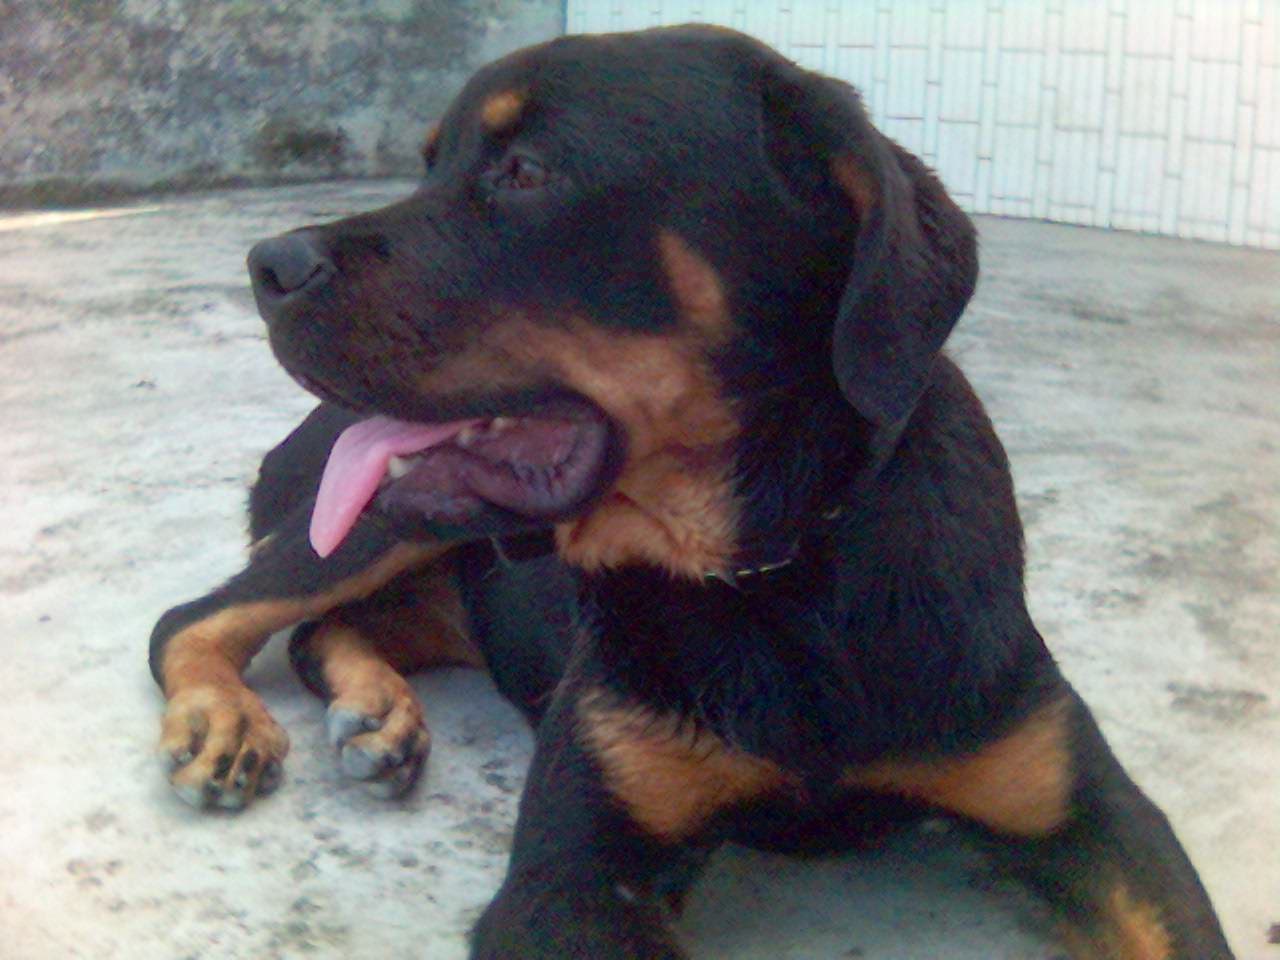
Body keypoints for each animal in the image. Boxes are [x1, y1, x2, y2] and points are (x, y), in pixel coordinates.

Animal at [148, 24, 1233, 959]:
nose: (266, 266)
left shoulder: (1090, 809)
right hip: (377, 526)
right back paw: (222, 721)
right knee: (198, 617)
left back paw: (378, 713)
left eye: (525, 170)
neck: (775, 572)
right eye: (430, 163)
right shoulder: (568, 881)